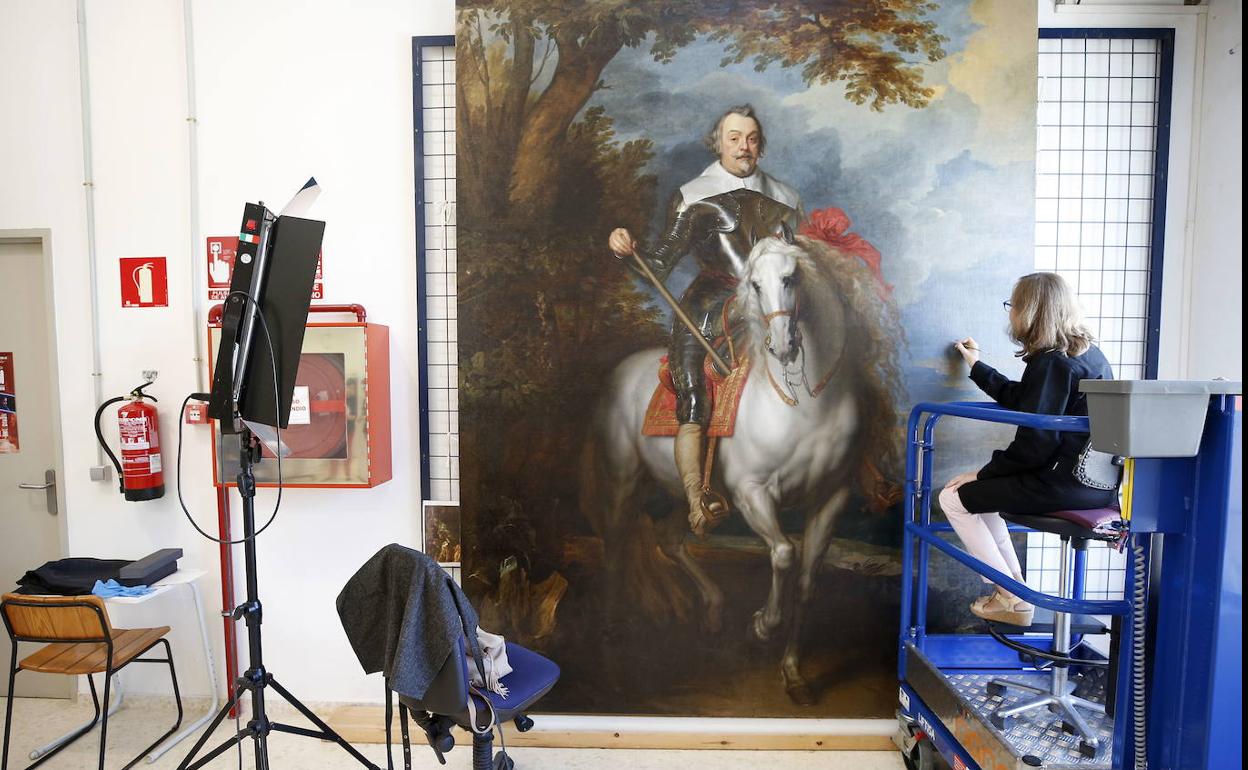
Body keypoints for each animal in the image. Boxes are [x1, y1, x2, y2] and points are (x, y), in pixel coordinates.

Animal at [579, 232, 903, 703]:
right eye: (754, 284)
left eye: (791, 278)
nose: (782, 346)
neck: (806, 406)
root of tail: (620, 370)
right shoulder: (753, 493)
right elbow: (784, 553)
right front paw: (762, 626)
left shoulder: (831, 498)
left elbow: (807, 584)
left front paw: (793, 673)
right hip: (624, 479)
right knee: (617, 543)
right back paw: (609, 630)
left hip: (686, 492)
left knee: (670, 537)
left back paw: (713, 611)